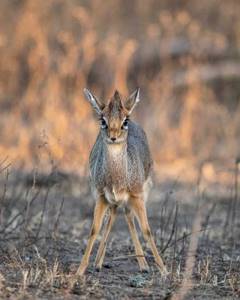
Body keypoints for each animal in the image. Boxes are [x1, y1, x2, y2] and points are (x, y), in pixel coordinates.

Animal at [77, 88, 167, 276]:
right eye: (102, 120)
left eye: (125, 121)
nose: (113, 136)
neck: (118, 178)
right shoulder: (101, 196)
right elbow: (94, 229)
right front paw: (80, 270)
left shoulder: (137, 195)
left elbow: (147, 230)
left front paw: (163, 270)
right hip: (112, 200)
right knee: (114, 216)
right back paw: (99, 263)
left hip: (139, 194)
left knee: (128, 215)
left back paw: (143, 265)